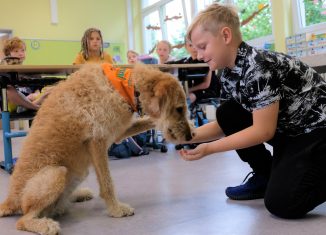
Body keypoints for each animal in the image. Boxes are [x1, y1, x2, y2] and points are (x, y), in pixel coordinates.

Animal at [0, 63, 194, 234]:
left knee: (58, 205)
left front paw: (192, 124)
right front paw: (116, 209)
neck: (123, 87)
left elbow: (147, 120)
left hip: (78, 172)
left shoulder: (117, 133)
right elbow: (107, 183)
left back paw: (78, 194)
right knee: (23, 219)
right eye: (179, 109)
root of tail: (10, 200)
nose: (189, 137)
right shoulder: (97, 142)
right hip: (56, 173)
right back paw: (45, 225)